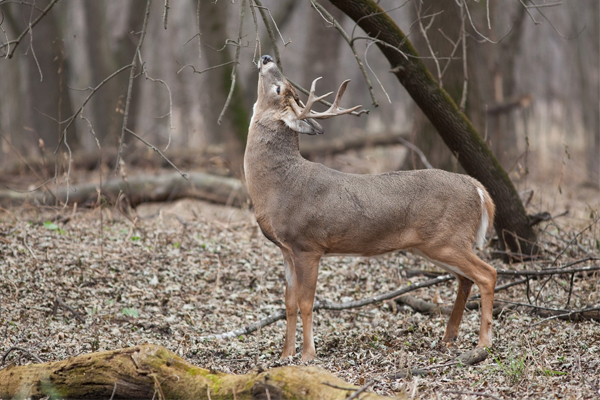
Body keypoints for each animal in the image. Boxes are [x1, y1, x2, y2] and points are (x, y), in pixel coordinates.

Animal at [244, 54, 496, 362]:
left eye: (279, 88)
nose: (266, 57)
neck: (279, 186)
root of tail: (477, 188)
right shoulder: (286, 249)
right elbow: (289, 302)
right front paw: (284, 356)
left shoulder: (308, 245)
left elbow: (306, 301)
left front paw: (307, 355)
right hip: (435, 244)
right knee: (465, 278)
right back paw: (449, 337)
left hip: (448, 239)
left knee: (487, 274)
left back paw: (483, 343)